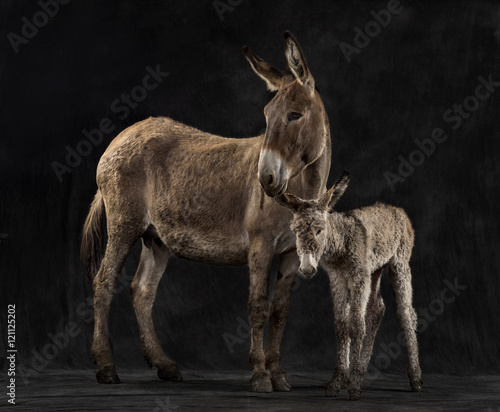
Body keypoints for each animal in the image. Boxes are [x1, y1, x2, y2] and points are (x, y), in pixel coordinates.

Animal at [276, 171, 424, 400]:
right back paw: (361, 370)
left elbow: (356, 325)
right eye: (296, 231)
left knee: (407, 314)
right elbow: (342, 326)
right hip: (374, 269)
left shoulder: (357, 276)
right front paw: (338, 381)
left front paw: (352, 385)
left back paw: (415, 379)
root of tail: (396, 209)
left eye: (320, 230)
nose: (307, 269)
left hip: (399, 262)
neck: (340, 243)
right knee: (377, 309)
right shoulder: (337, 278)